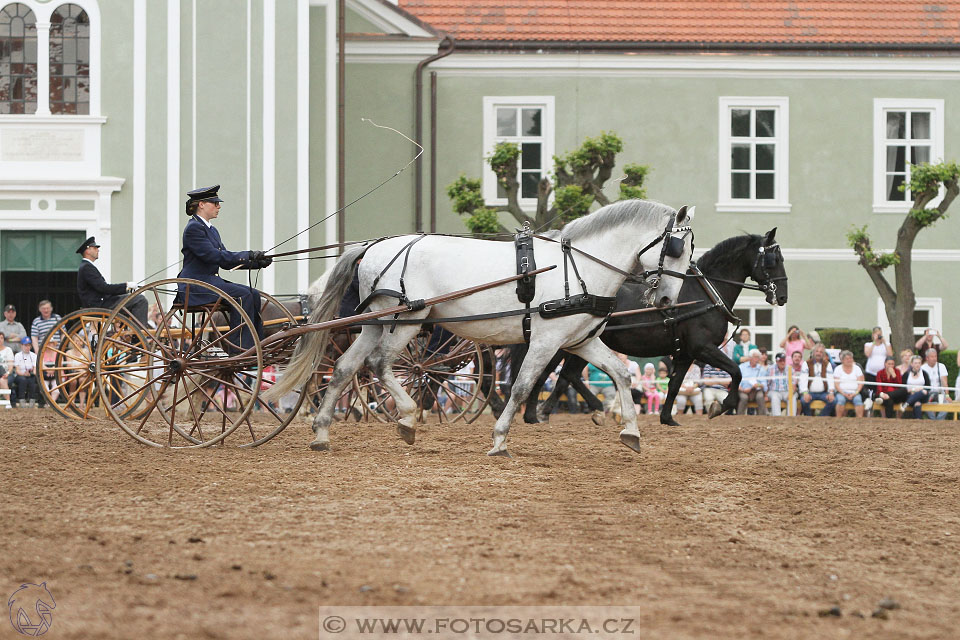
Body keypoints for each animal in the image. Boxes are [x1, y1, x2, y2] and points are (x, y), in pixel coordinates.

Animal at [266, 200, 692, 456]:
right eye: (677, 249)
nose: (665, 300)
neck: (579, 268)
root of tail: (373, 246)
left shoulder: (579, 341)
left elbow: (620, 373)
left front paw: (631, 432)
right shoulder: (546, 340)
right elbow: (521, 387)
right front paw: (500, 439)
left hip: (376, 322)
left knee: (344, 369)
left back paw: (322, 432)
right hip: (408, 321)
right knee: (381, 365)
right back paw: (407, 417)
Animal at [524, 230, 788, 424]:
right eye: (773, 260)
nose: (783, 296)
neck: (704, 293)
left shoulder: (686, 354)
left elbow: (675, 385)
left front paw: (667, 418)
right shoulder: (703, 348)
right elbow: (736, 371)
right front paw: (722, 406)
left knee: (560, 375)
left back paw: (540, 413)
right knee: (555, 374)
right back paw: (555, 411)